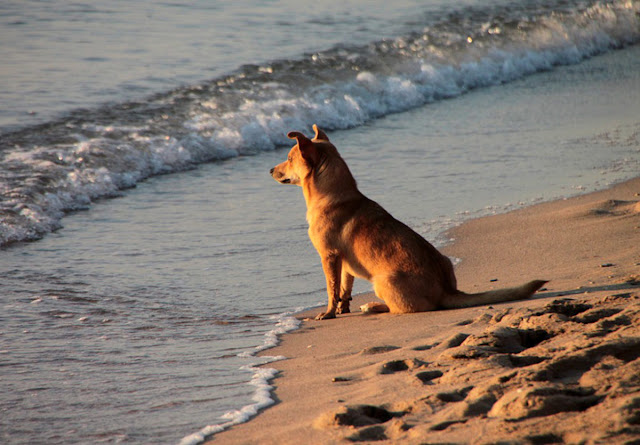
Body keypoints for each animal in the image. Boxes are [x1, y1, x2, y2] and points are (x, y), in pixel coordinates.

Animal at [270, 125, 544, 320]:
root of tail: (447, 291)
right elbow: (345, 288)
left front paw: (328, 313)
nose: (271, 170)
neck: (333, 194)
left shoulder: (329, 256)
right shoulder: (343, 262)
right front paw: (341, 309)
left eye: (290, 158)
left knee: (399, 309)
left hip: (382, 281)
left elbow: (331, 289)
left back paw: (373, 306)